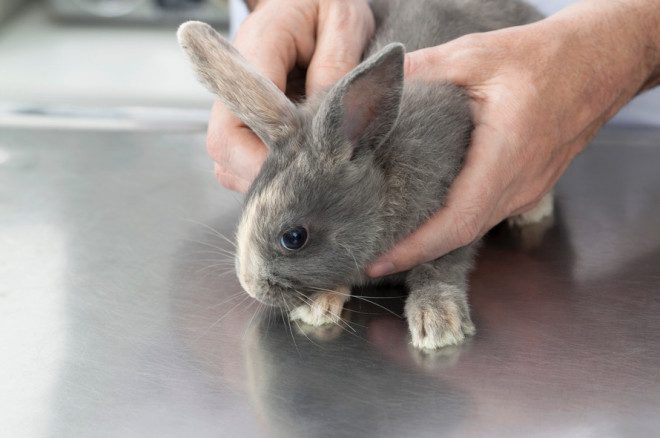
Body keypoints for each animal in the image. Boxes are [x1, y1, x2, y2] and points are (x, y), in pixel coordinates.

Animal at [177, 0, 552, 350]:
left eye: (294, 238)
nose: (251, 287)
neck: (383, 183)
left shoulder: (455, 222)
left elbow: (440, 268)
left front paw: (439, 322)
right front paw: (319, 306)